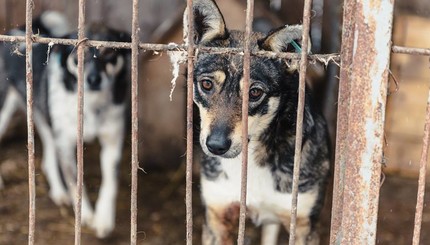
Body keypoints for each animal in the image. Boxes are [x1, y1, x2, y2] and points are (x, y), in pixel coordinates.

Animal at [0, 11, 131, 237]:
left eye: (108, 53)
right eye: (78, 54)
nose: (93, 80)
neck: (91, 104)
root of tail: (17, 30)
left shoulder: (112, 142)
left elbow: (110, 183)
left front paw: (103, 219)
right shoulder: (67, 144)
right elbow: (75, 183)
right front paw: (85, 215)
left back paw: (58, 193)